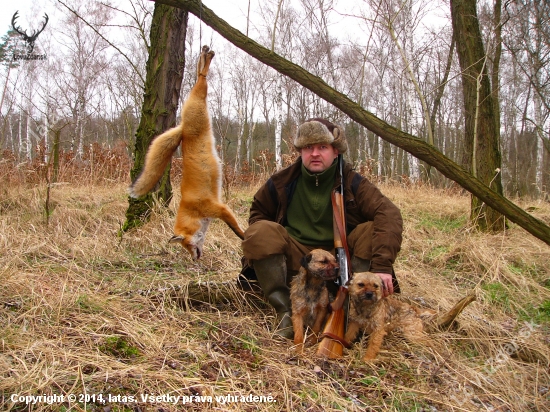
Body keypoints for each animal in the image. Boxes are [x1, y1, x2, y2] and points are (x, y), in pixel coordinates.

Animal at [348, 272, 476, 362]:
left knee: (430, 341)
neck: (365, 308)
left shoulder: (378, 331)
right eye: (361, 284)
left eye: (376, 286)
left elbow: (373, 346)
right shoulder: (354, 323)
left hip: (412, 334)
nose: (369, 294)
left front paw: (368, 359)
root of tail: (415, 311)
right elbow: (349, 335)